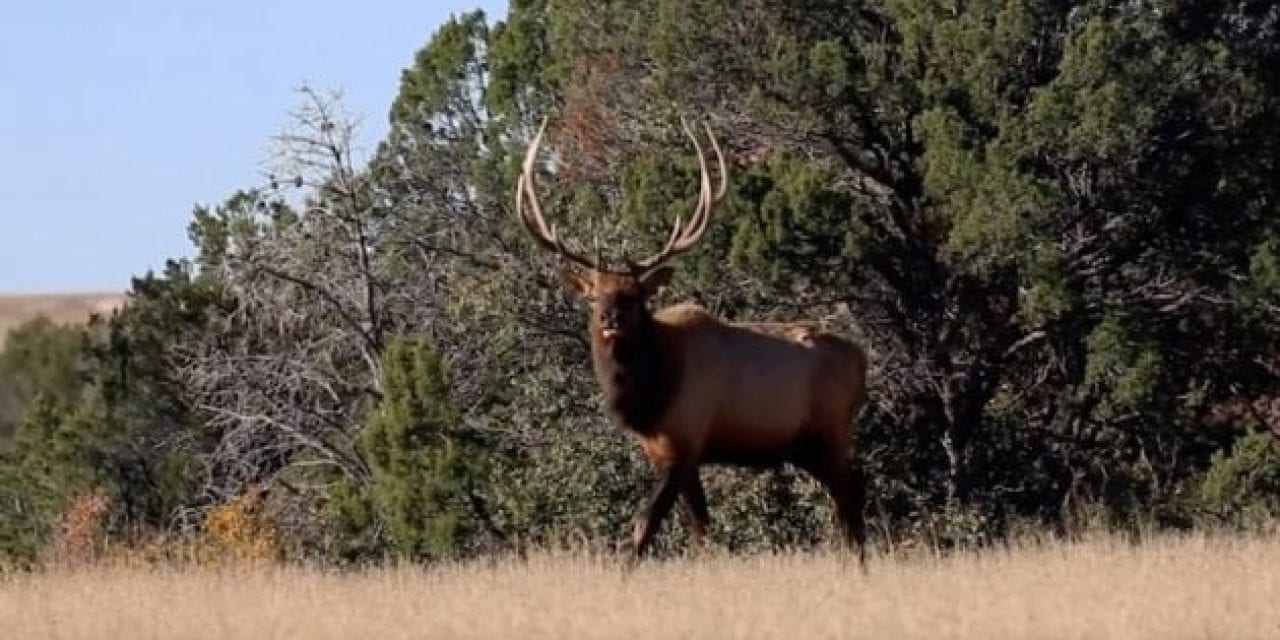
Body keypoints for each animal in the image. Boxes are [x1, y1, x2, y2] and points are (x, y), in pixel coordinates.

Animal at [517, 116, 870, 565]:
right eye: (594, 294)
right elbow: (700, 530)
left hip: (831, 432)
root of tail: (862, 359)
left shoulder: (687, 440)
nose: (611, 318)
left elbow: (644, 525)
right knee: (847, 504)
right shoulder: (665, 451)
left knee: (850, 504)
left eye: (636, 296)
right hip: (808, 447)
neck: (651, 393)